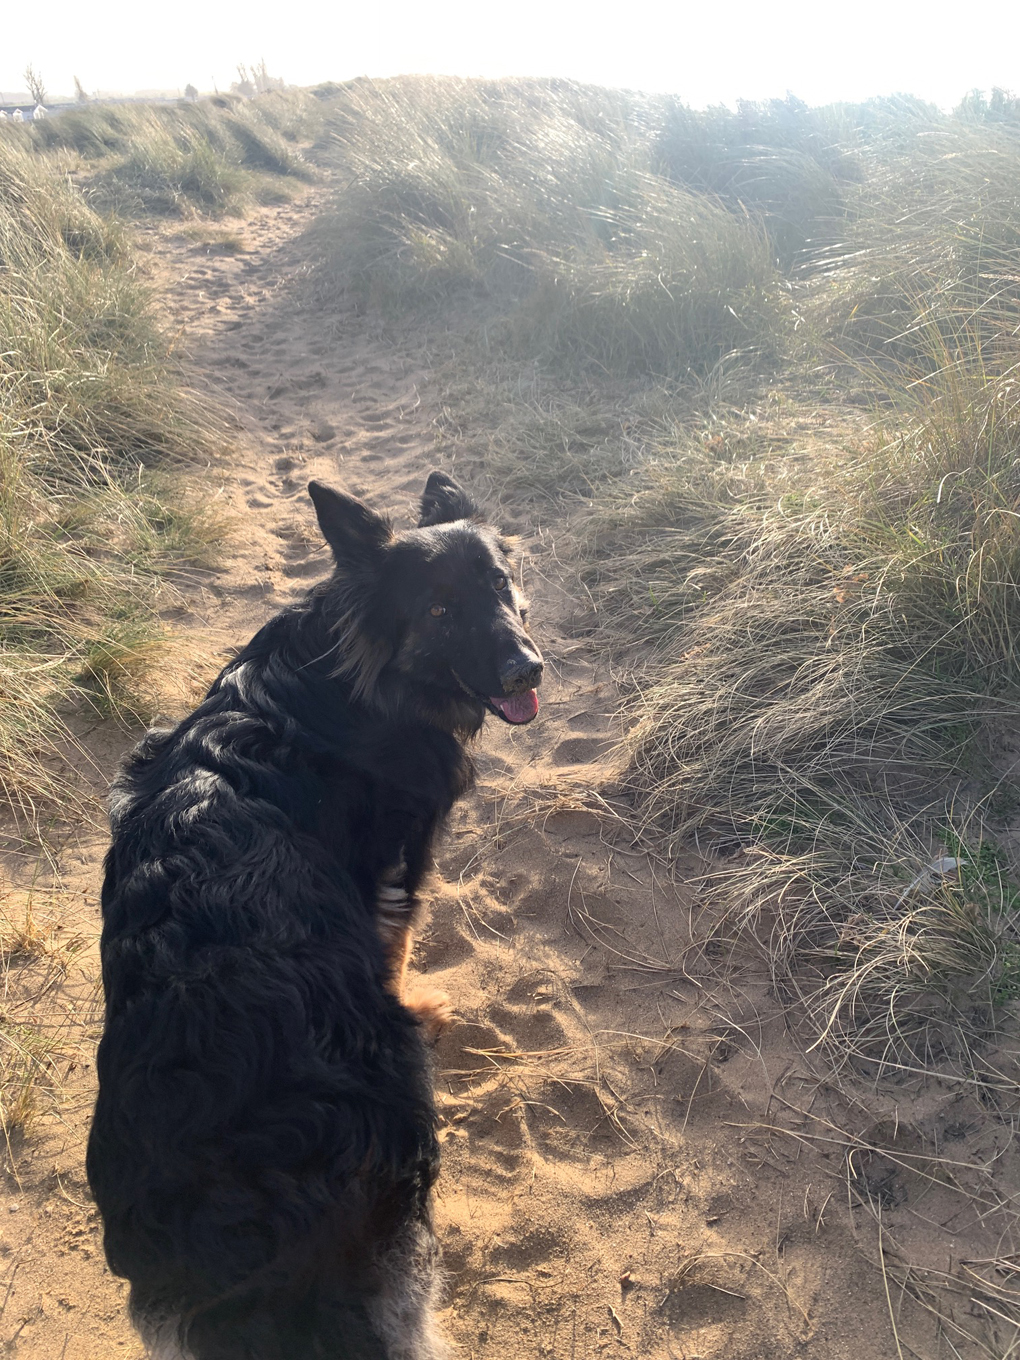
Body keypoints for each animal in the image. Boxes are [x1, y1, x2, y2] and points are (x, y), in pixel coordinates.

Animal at [87, 476, 544, 1360]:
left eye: (501, 585)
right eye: (439, 610)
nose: (527, 667)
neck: (339, 674)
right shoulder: (398, 865)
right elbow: (397, 947)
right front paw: (418, 999)